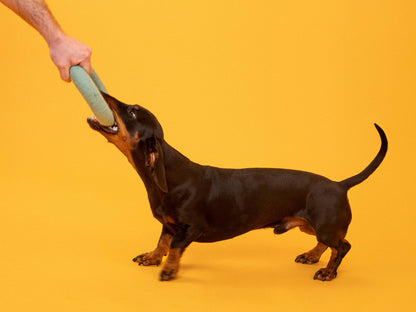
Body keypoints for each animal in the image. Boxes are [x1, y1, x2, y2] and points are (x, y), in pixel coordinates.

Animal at [87, 93, 386, 282]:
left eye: (132, 111)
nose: (102, 92)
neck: (169, 176)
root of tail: (339, 185)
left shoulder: (190, 228)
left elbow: (174, 248)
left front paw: (169, 271)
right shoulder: (168, 224)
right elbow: (162, 242)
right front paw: (151, 257)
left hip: (325, 226)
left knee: (342, 246)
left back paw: (328, 272)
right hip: (310, 225)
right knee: (329, 243)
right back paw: (312, 256)